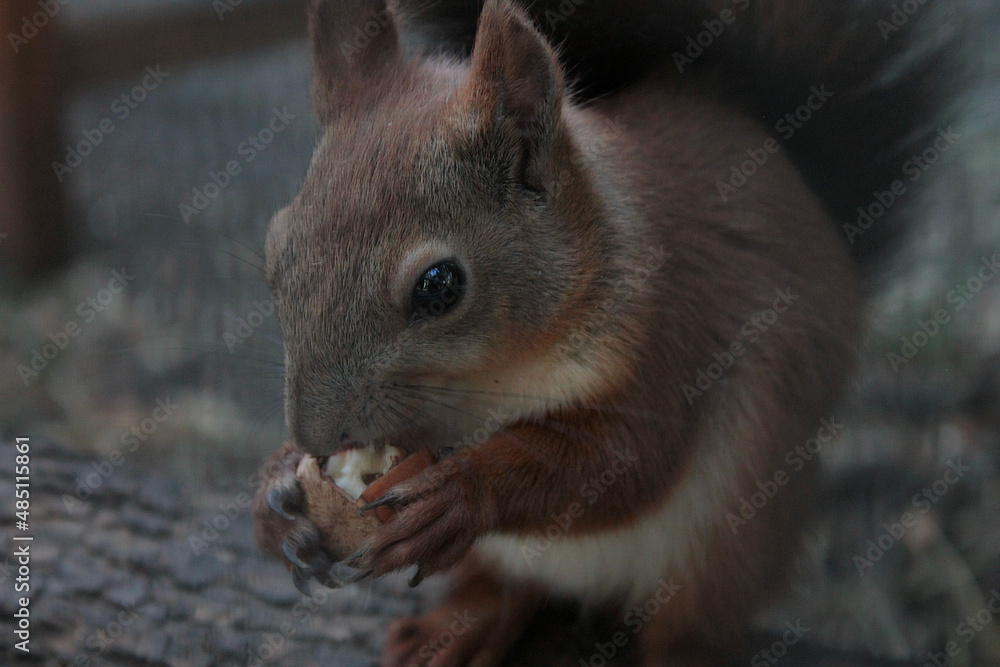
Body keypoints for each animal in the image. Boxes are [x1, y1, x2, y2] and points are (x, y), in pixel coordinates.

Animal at [251, 0, 961, 664]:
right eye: (274, 247)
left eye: (439, 285)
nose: (314, 434)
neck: (500, 375)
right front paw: (277, 488)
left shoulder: (674, 331)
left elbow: (630, 461)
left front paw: (461, 492)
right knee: (506, 587)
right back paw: (456, 628)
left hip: (735, 539)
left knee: (692, 626)